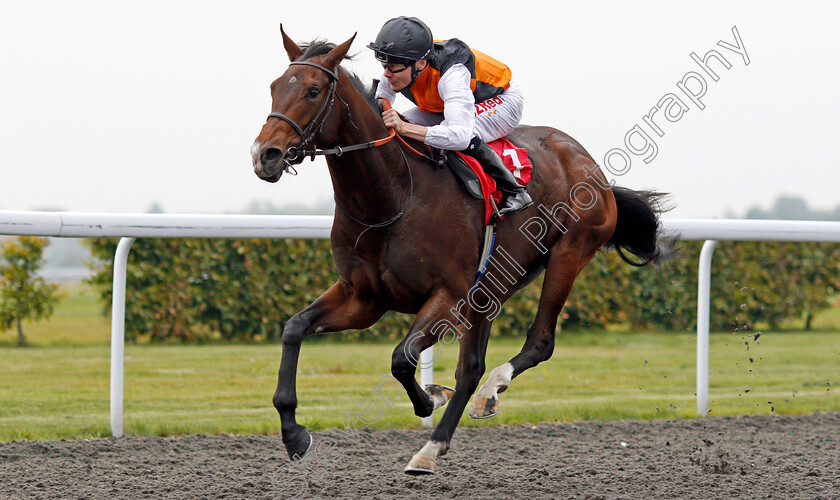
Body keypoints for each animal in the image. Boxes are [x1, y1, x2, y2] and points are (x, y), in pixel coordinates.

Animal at [249, 29, 668, 474]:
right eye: (274, 87)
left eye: (313, 91)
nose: (265, 155)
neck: (393, 197)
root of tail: (592, 167)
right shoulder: (363, 298)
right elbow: (294, 327)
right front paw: (294, 433)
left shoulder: (449, 295)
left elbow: (401, 358)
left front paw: (430, 397)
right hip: (491, 286)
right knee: (471, 368)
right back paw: (441, 438)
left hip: (567, 255)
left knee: (538, 343)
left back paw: (476, 404)